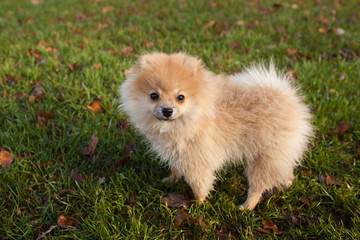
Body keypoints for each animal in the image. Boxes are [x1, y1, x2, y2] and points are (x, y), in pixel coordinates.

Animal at [120, 52, 312, 210]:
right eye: (154, 96)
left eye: (180, 97)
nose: (167, 110)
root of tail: (288, 98)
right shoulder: (176, 151)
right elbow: (175, 167)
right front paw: (171, 179)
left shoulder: (197, 159)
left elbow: (199, 184)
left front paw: (198, 204)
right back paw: (287, 183)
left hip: (264, 158)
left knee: (258, 186)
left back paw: (246, 207)